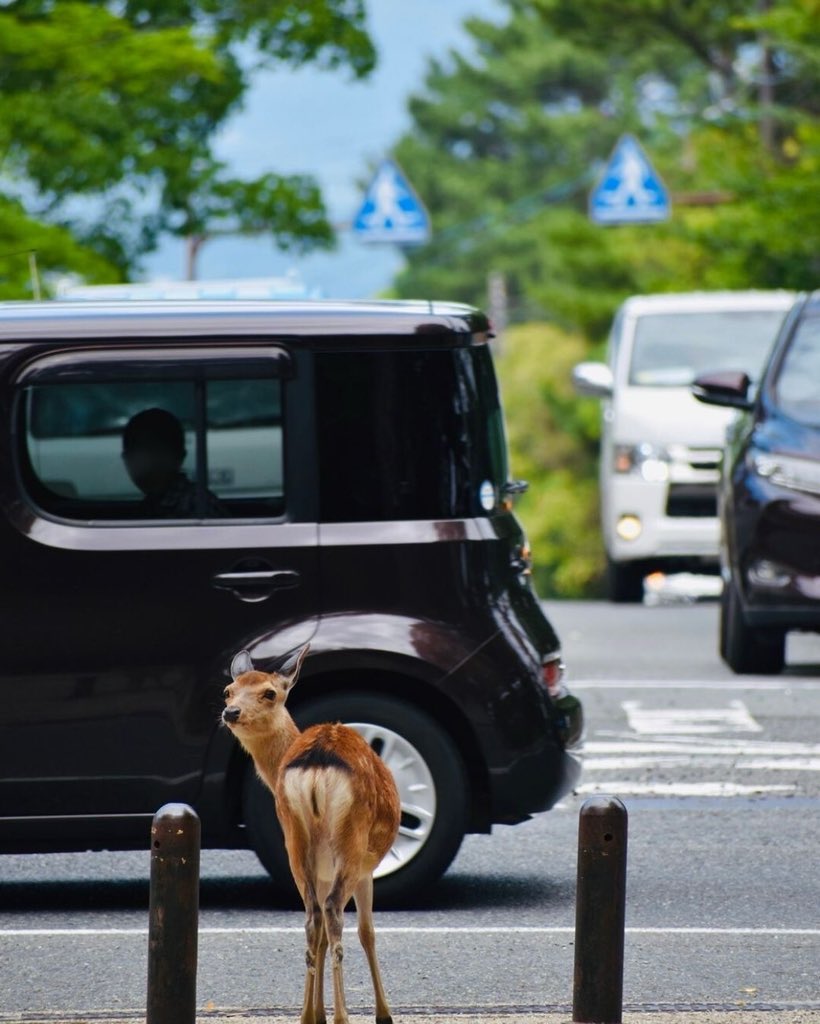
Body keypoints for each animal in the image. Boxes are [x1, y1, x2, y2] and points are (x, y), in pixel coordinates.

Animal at [221, 644, 400, 1024]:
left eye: (269, 693)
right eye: (229, 690)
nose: (231, 711)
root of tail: (316, 764)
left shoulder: (321, 868)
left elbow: (318, 934)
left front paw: (316, 1011)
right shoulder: (365, 868)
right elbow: (367, 932)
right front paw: (383, 1013)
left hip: (295, 838)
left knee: (311, 918)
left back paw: (306, 1015)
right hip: (350, 841)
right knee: (332, 914)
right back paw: (342, 1016)